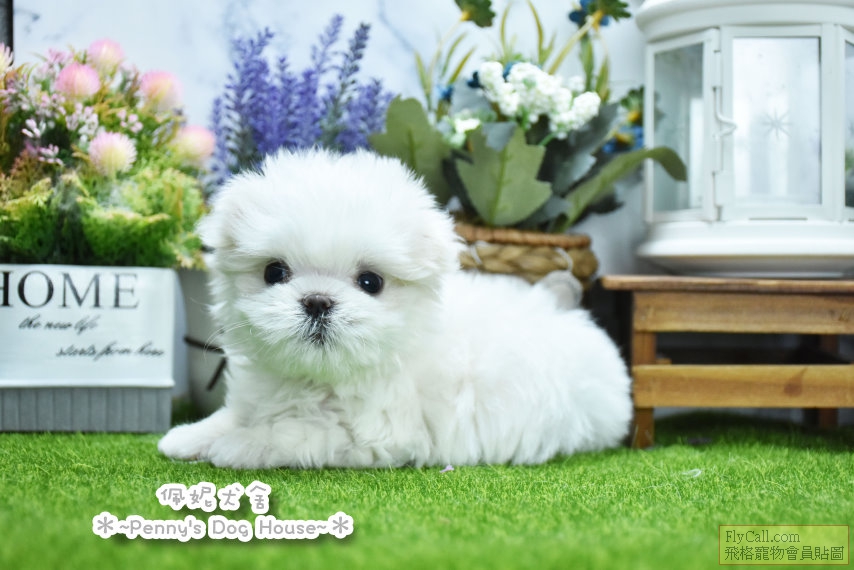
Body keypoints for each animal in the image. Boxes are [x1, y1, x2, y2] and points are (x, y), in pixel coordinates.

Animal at [158, 149, 632, 469]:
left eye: (371, 282)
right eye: (275, 272)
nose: (317, 301)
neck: (316, 378)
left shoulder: (375, 431)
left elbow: (297, 431)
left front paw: (240, 445)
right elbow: (235, 414)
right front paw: (188, 437)